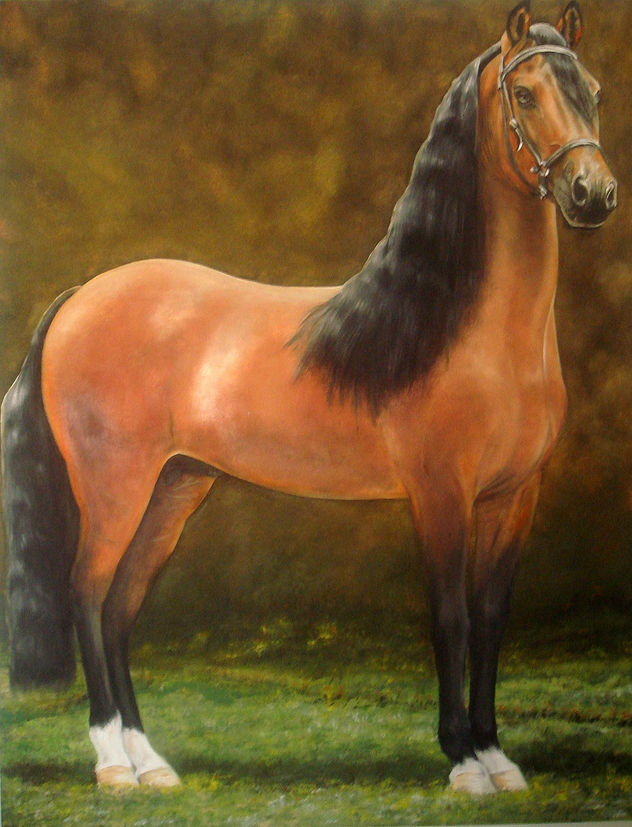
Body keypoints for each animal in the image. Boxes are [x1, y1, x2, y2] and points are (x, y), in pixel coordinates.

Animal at [2, 0, 617, 795]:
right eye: (525, 94)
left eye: (594, 92)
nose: (593, 195)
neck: (471, 332)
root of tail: (79, 296)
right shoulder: (439, 493)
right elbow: (450, 617)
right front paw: (461, 760)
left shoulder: (516, 496)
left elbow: (490, 620)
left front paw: (496, 756)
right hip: (117, 488)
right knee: (84, 593)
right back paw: (113, 764)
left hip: (175, 488)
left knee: (118, 610)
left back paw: (151, 761)